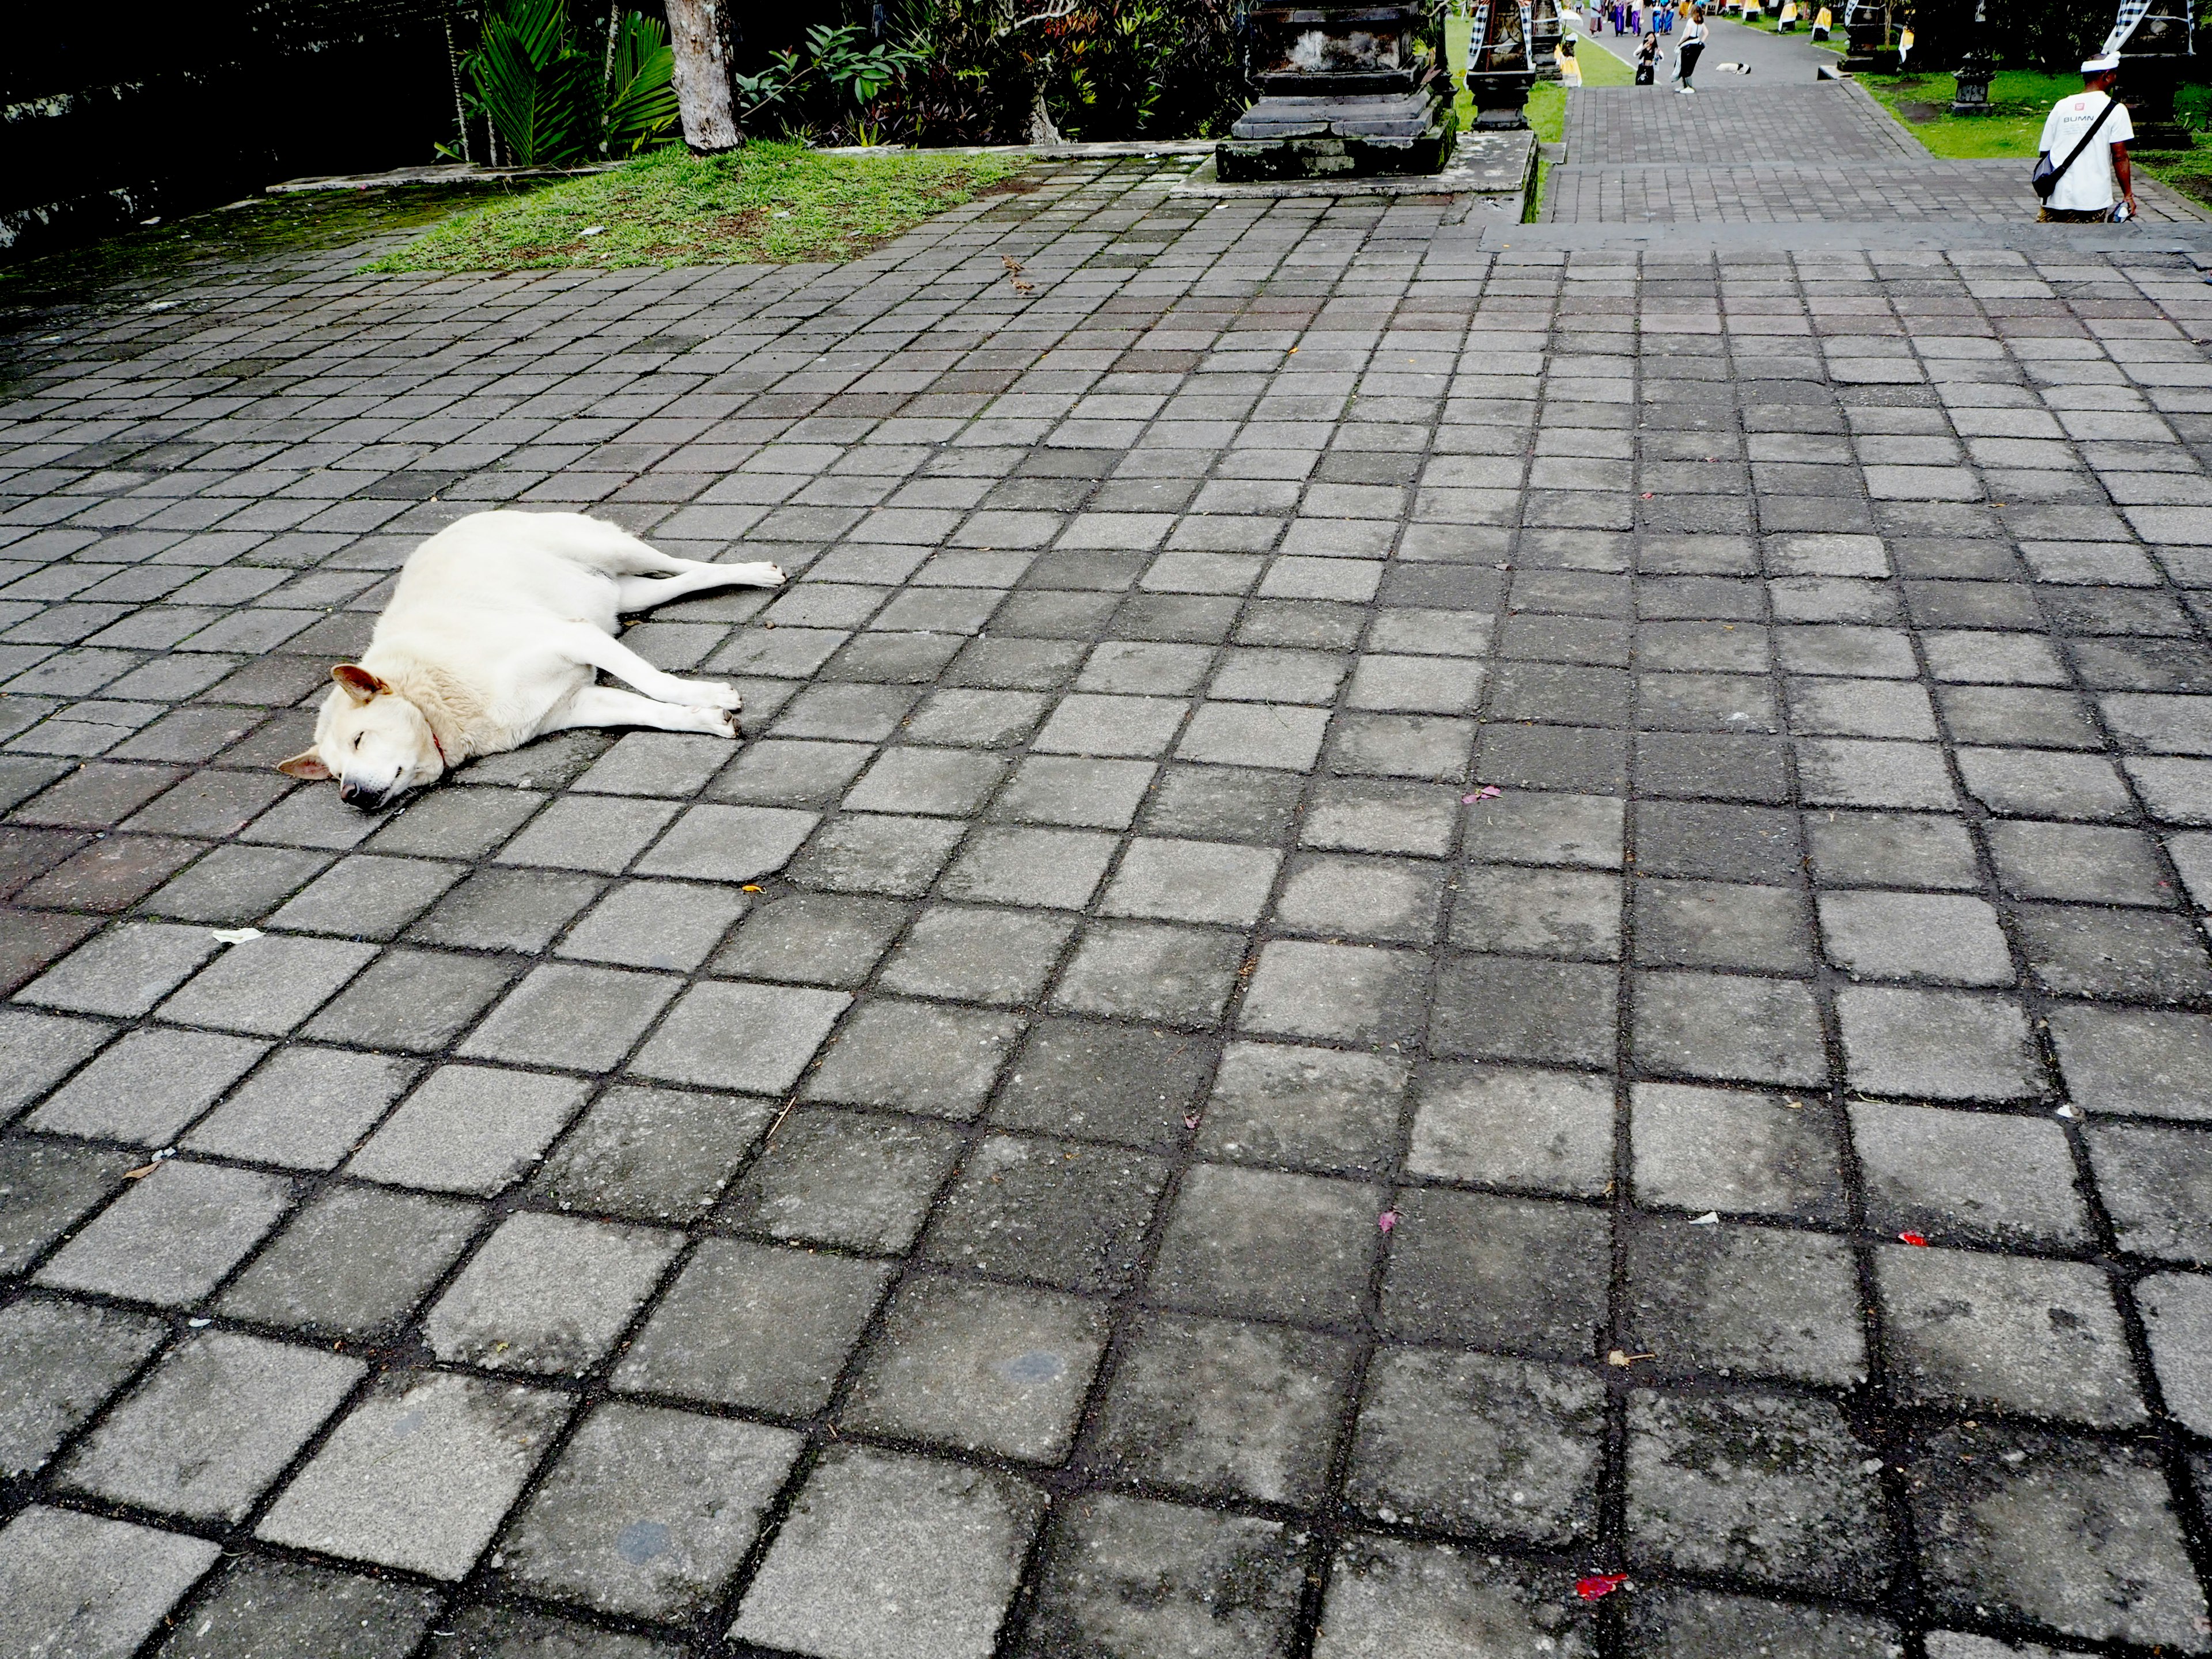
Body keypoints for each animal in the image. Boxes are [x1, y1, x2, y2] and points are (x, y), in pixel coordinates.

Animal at [281, 513, 787, 814]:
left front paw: (706, 694)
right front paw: (707, 719)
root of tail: (466, 516)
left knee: (686, 564)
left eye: (360, 739)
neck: (438, 693)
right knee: (682, 581)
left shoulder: (575, 636)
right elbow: (651, 713)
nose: (349, 796)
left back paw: (757, 572)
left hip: (610, 552)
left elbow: (655, 684)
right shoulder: (574, 704)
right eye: (336, 774)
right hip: (624, 597)